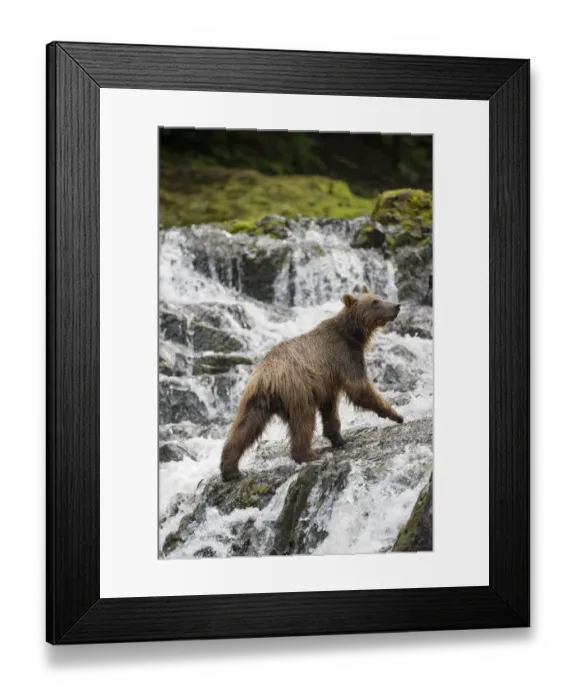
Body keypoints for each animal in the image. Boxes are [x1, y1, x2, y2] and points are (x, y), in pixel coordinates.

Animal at [219, 285, 404, 482]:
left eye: (380, 296)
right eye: (375, 302)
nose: (396, 306)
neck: (354, 334)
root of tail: (267, 376)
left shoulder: (328, 381)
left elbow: (330, 409)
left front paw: (339, 438)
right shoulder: (345, 356)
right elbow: (359, 387)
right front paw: (395, 414)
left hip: (255, 400)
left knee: (244, 428)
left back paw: (230, 469)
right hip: (298, 390)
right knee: (303, 421)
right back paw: (308, 455)